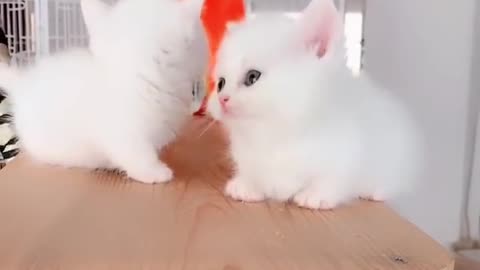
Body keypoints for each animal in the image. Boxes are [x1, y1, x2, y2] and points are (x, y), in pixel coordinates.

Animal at [206, 0, 420, 209]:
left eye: (252, 76)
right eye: (221, 83)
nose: (222, 99)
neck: (277, 134)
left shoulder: (347, 154)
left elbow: (332, 178)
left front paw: (315, 196)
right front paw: (246, 186)